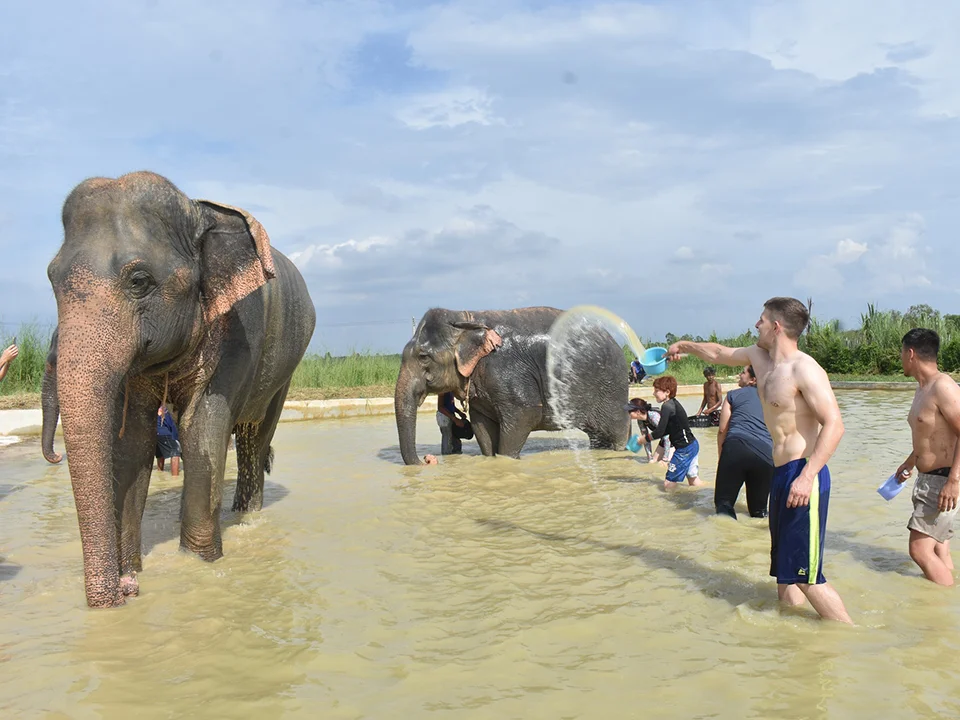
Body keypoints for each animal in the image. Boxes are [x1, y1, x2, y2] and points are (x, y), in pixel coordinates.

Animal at [44, 170, 316, 608]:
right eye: (52, 279)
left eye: (139, 281)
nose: (126, 590)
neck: (195, 212)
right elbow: (134, 441)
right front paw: (134, 569)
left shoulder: (240, 331)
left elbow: (200, 430)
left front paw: (200, 564)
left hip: (284, 369)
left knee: (255, 438)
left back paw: (246, 517)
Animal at [394, 306, 631, 465]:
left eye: (423, 357)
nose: (427, 460)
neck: (466, 317)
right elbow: (482, 424)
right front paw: (490, 458)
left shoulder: (507, 371)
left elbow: (525, 414)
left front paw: (506, 460)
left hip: (612, 388)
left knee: (616, 431)